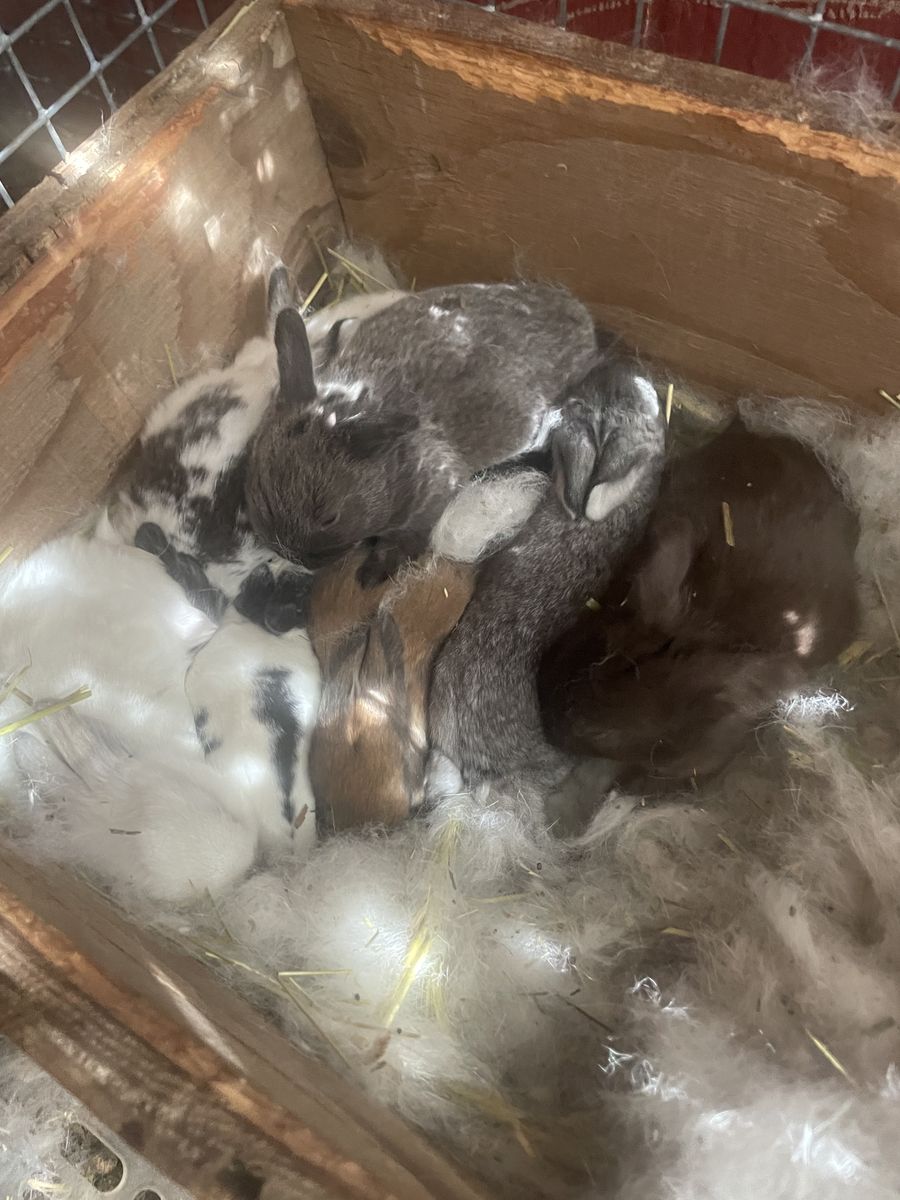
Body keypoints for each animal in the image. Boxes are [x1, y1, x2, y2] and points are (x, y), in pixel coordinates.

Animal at [245, 279, 605, 586]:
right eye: (263, 494)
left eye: (329, 518)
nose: (294, 557)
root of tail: (580, 314)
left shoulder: (425, 507)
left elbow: (405, 541)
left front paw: (372, 575)